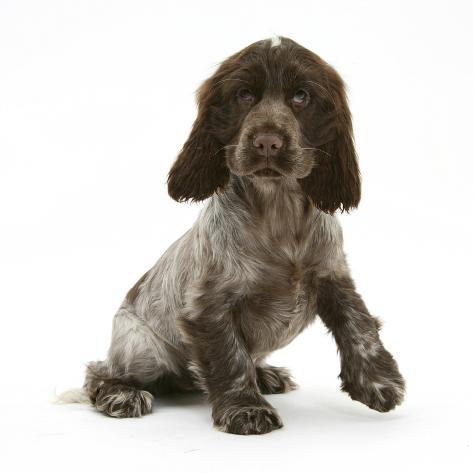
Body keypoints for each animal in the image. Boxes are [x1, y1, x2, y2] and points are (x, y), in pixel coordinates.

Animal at [80, 37, 402, 434]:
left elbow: (359, 322)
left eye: (301, 96)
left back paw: (265, 374)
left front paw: (379, 381)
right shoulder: (209, 305)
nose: (267, 143)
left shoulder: (332, 274)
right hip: (143, 349)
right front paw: (246, 409)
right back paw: (121, 394)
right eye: (244, 95)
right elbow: (228, 357)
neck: (278, 210)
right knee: (98, 372)